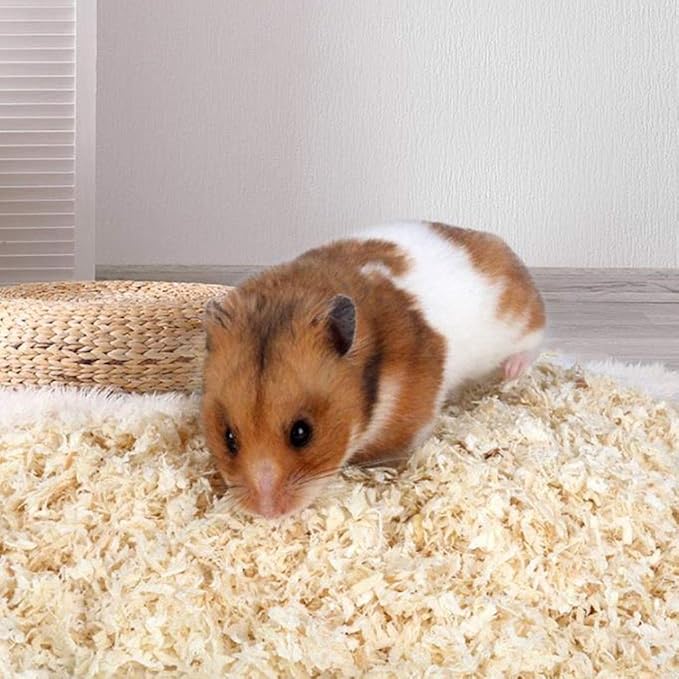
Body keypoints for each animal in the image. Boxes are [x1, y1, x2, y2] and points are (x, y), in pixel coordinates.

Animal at [201, 221, 545, 518]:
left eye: (302, 433)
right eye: (229, 437)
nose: (267, 512)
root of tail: (499, 244)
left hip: (522, 320)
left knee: (535, 341)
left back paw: (512, 371)